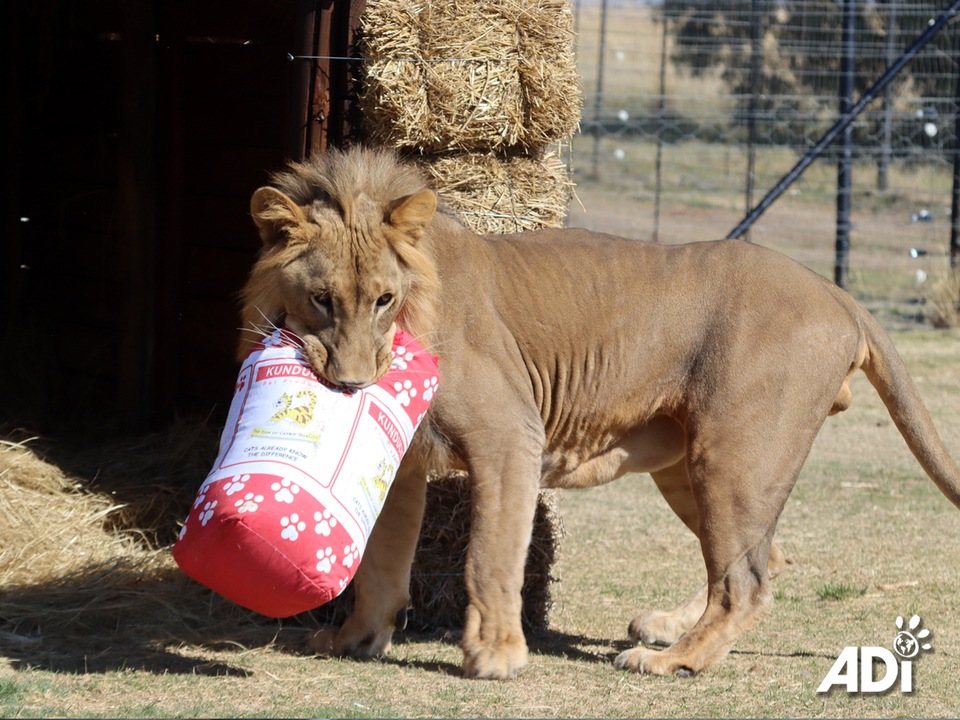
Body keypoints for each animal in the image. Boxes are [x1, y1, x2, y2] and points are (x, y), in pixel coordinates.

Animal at [238, 145, 960, 680]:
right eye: (323, 299)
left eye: (383, 299)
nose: (354, 384)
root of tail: (838, 292)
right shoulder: (406, 458)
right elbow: (381, 562)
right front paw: (354, 641)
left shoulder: (511, 435)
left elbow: (491, 555)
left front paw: (495, 656)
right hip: (689, 466)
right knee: (758, 559)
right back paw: (669, 628)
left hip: (733, 456)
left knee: (747, 579)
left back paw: (672, 660)